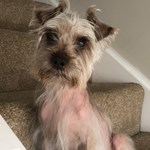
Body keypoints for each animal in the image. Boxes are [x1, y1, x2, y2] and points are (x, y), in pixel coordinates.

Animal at [29, 0, 135, 150]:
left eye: (82, 42)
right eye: (51, 35)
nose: (58, 60)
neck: (63, 93)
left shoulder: (89, 139)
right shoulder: (48, 139)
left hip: (121, 139)